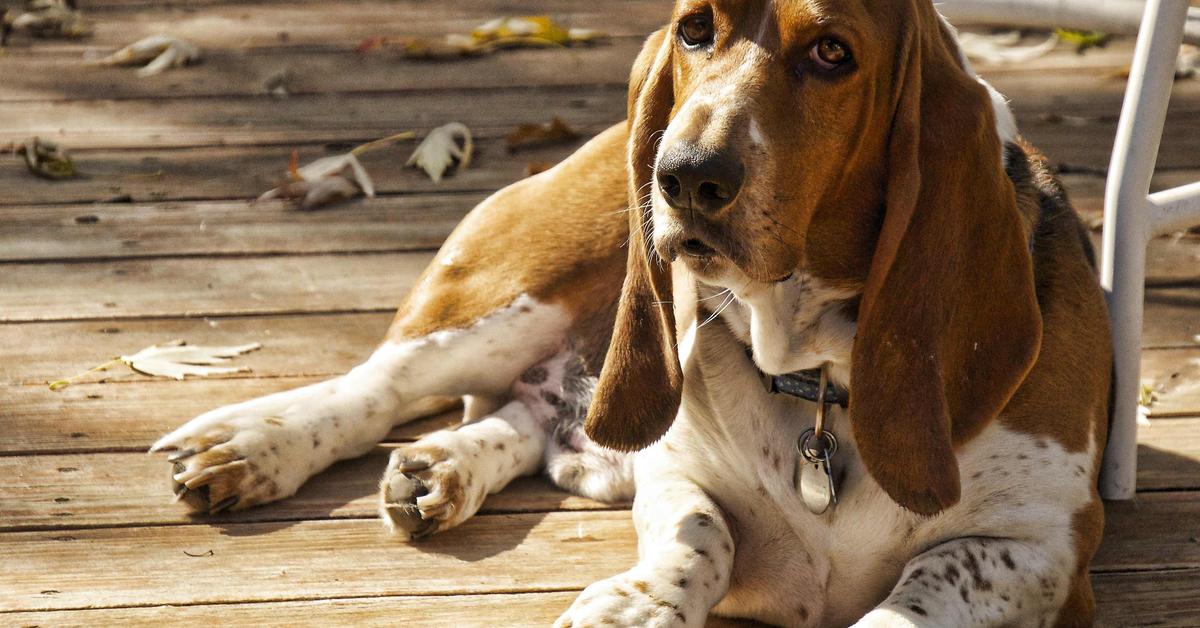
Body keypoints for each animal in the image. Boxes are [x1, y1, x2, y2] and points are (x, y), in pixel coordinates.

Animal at [152, 0, 1113, 624]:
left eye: (833, 53)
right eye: (696, 29)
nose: (682, 175)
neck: (816, 381)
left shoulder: (1044, 547)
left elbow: (922, 592)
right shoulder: (676, 472)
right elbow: (700, 535)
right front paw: (634, 605)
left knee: (528, 418)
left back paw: (441, 468)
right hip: (510, 294)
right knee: (376, 386)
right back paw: (248, 448)